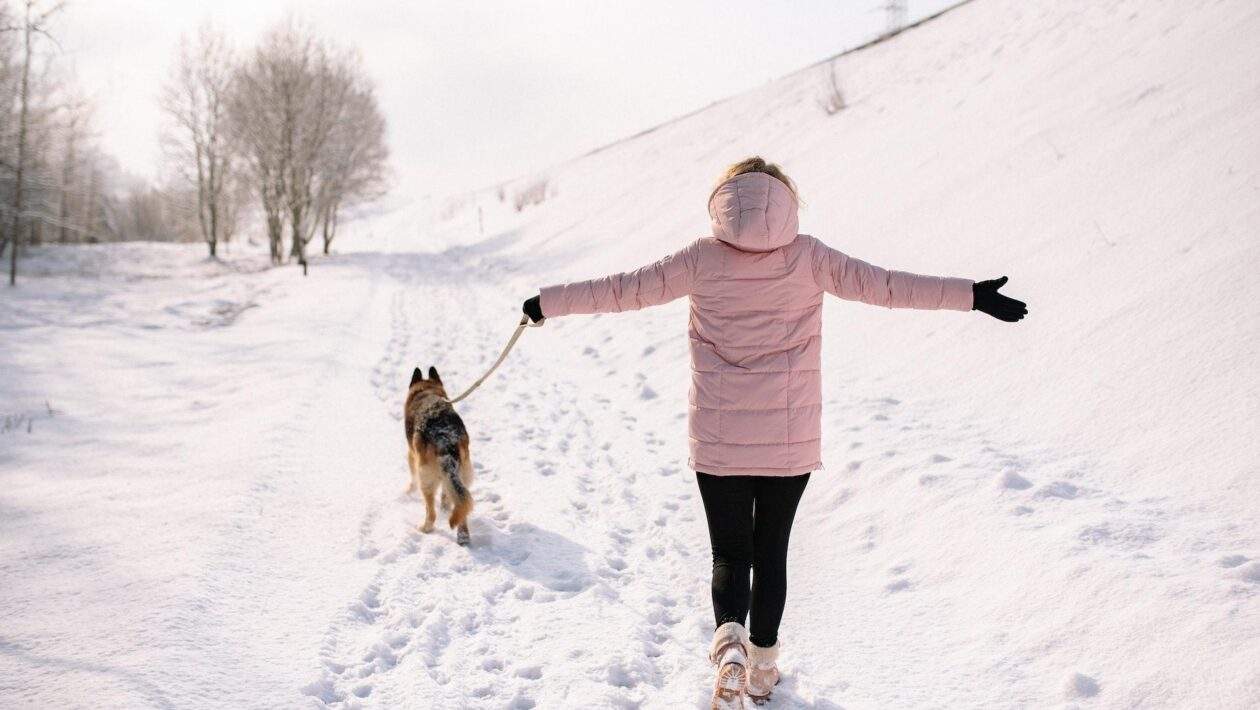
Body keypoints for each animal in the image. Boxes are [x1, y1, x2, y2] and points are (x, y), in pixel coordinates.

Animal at [404, 366, 474, 545]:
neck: (426, 390)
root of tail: (445, 438)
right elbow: (446, 493)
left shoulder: (412, 455)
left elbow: (412, 479)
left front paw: (408, 491)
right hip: (462, 472)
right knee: (462, 503)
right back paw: (463, 535)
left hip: (426, 478)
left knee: (431, 512)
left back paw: (425, 528)